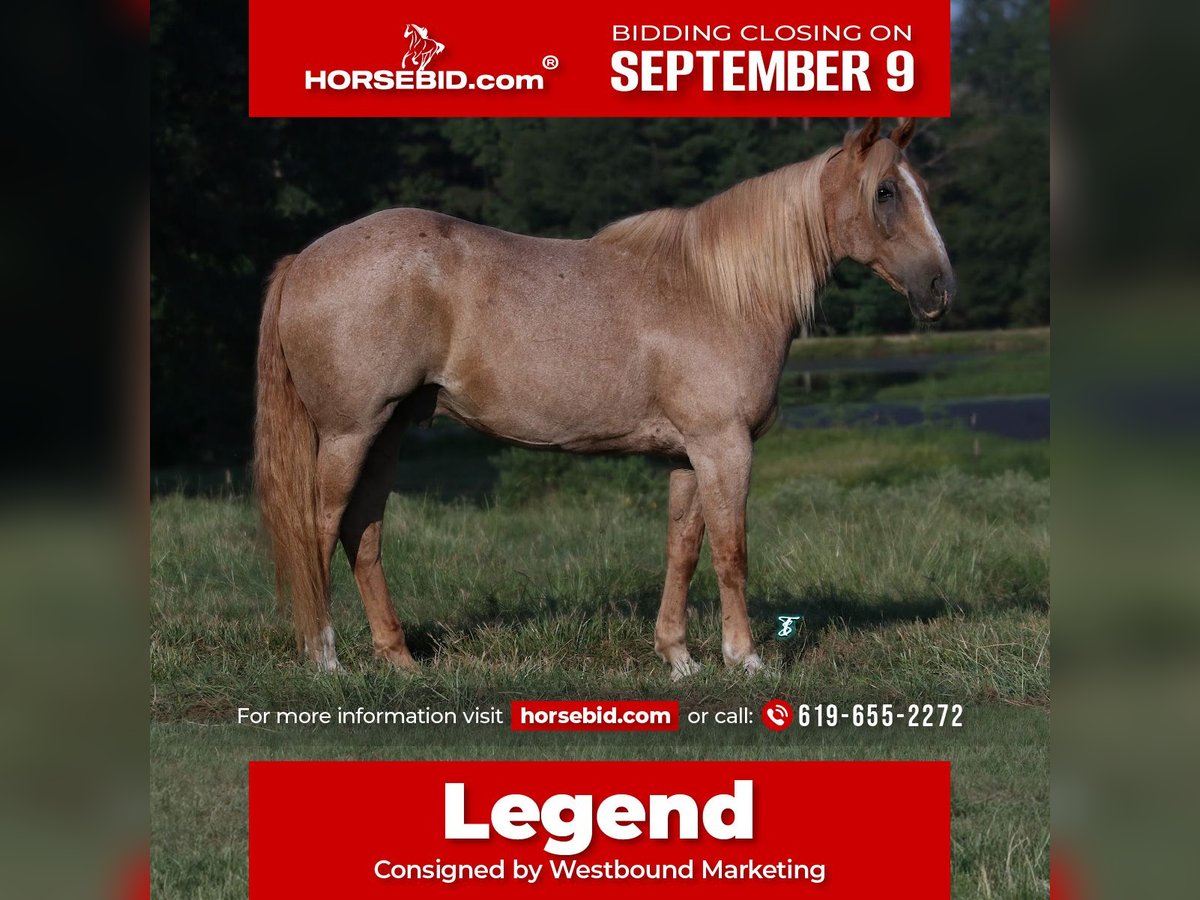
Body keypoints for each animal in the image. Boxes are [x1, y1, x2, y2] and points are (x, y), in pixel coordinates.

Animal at [255, 118, 955, 676]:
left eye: (921, 186)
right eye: (886, 191)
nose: (939, 288)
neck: (718, 290)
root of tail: (303, 259)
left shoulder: (687, 456)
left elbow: (684, 550)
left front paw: (679, 657)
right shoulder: (724, 447)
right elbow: (731, 550)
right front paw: (745, 658)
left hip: (389, 432)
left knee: (363, 534)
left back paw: (398, 659)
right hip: (350, 434)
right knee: (320, 529)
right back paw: (326, 659)